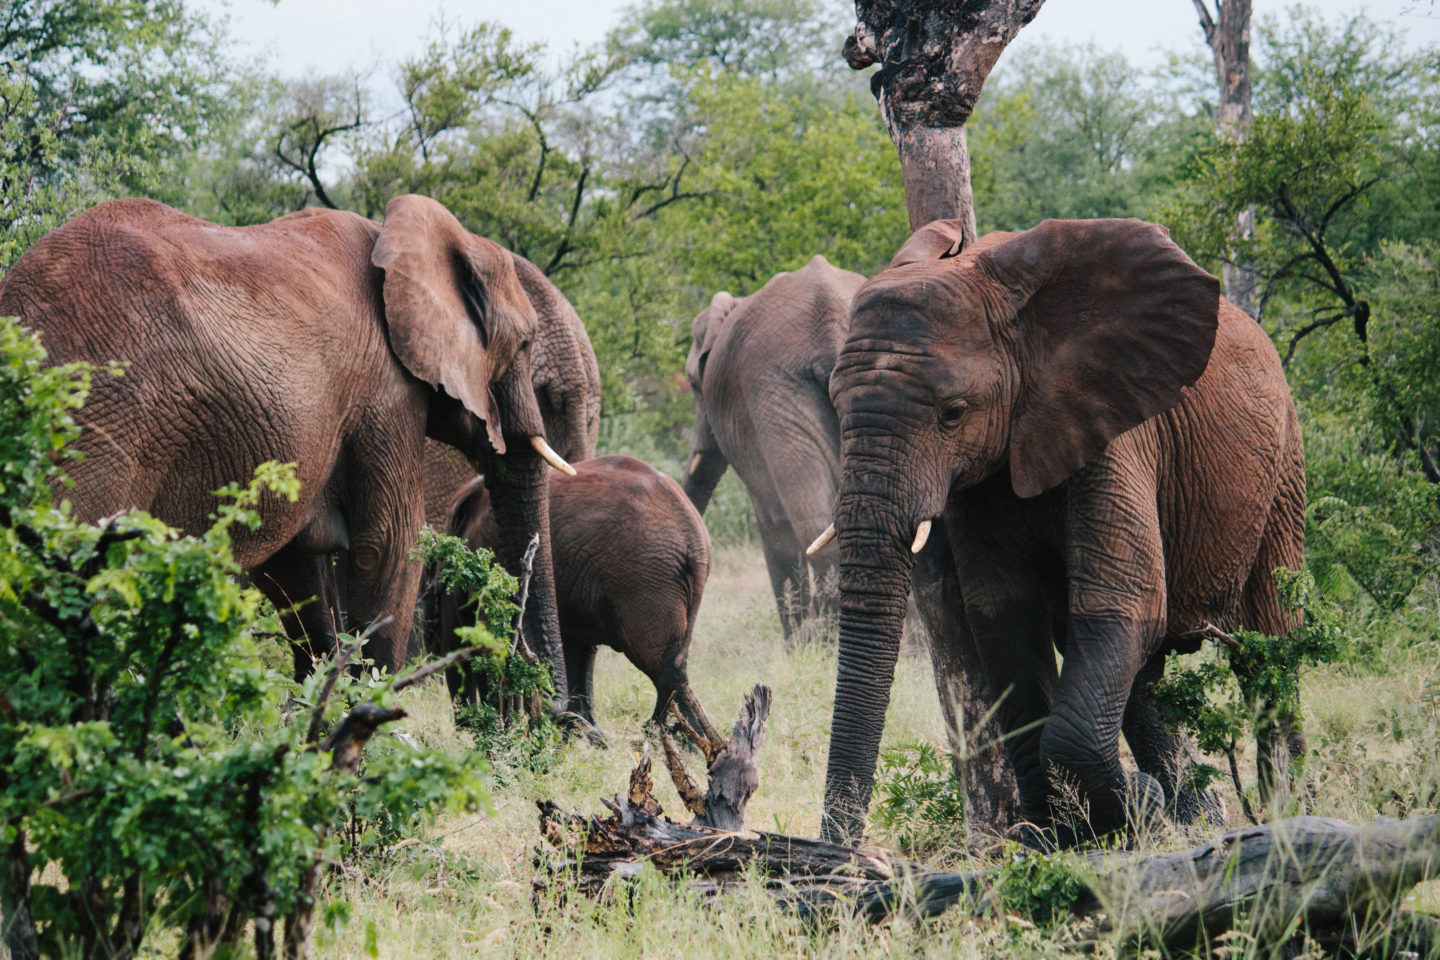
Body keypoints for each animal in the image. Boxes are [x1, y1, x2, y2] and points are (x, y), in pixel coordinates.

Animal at [0, 197, 576, 699]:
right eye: (526, 344)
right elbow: (388, 544)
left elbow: (293, 565)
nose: (558, 716)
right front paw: (373, 714)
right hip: (101, 419)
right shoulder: (385, 392)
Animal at [426, 454, 720, 748]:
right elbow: (578, 646)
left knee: (660, 662)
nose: (462, 726)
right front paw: (584, 735)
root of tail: (695, 540)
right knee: (671, 658)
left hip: (645, 577)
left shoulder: (490, 551)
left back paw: (676, 740)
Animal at [685, 254, 864, 639]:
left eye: (693, 384)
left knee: (808, 521)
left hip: (777, 392)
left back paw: (821, 637)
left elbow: (772, 520)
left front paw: (796, 643)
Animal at [823, 215, 1307, 846]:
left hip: (1283, 467)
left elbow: (1124, 599)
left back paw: (1284, 811)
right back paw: (1192, 816)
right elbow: (1005, 618)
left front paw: (1127, 808)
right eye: (834, 404)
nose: (842, 853)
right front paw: (1052, 834)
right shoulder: (977, 481)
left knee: (1269, 642)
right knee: (1144, 670)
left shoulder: (1117, 432)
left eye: (952, 413)